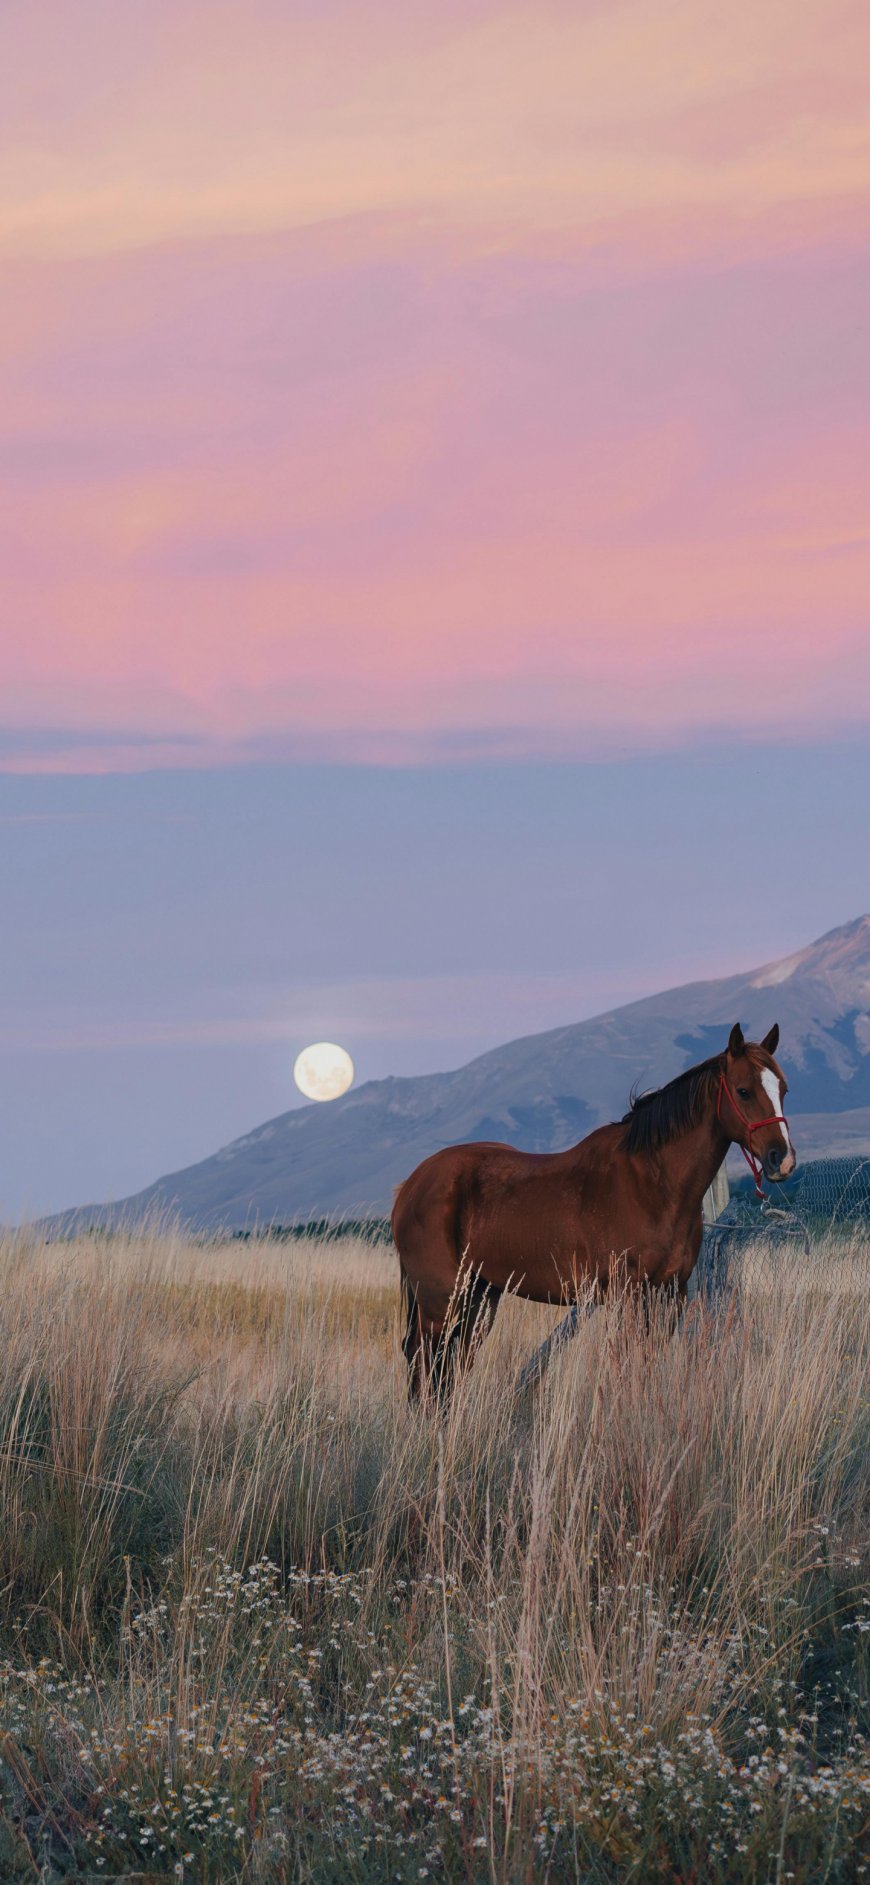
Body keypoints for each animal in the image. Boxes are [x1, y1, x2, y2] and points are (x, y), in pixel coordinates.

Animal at [392, 1023, 795, 1399]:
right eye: (743, 1090)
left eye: (783, 1090)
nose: (782, 1159)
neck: (653, 1184)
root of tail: (410, 1185)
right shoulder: (627, 1296)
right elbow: (628, 1367)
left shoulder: (670, 1294)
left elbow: (648, 1364)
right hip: (439, 1299)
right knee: (425, 1359)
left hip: (481, 1295)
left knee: (454, 1361)